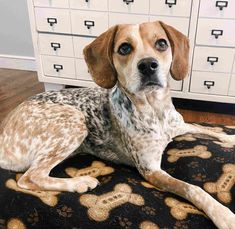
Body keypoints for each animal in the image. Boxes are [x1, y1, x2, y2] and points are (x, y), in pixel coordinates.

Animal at [0, 21, 235, 227]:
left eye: (161, 43)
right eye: (124, 48)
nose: (148, 65)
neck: (155, 109)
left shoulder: (181, 125)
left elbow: (208, 129)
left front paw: (229, 137)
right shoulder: (151, 170)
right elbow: (193, 189)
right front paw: (223, 214)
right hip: (75, 119)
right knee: (29, 177)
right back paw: (80, 183)